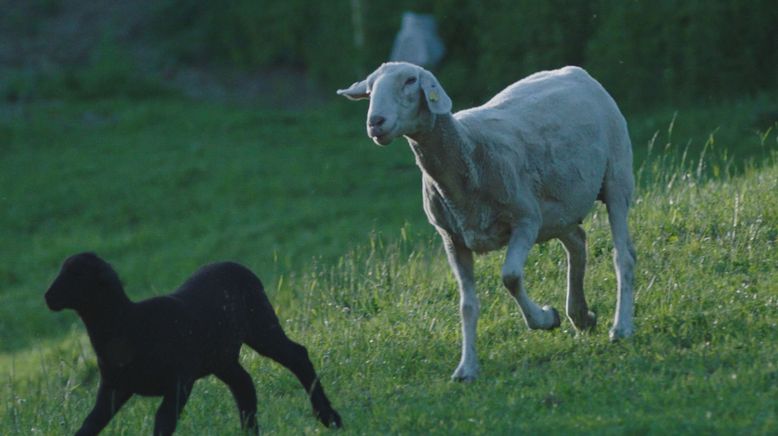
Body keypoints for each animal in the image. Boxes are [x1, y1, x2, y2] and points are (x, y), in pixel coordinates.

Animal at [44, 252, 342, 436]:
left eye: (77, 274)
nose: (48, 297)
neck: (128, 324)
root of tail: (235, 265)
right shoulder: (113, 387)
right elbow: (89, 424)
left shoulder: (179, 380)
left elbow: (163, 422)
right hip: (221, 357)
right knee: (244, 384)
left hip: (261, 325)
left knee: (297, 356)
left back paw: (329, 417)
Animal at [336, 61, 632, 382]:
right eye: (369, 89)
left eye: (410, 80)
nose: (375, 122)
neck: (467, 147)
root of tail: (575, 71)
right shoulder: (452, 239)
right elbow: (467, 305)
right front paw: (467, 367)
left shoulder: (525, 219)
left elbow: (510, 277)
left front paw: (544, 318)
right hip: (558, 210)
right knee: (577, 242)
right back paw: (581, 315)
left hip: (616, 177)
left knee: (623, 255)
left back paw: (621, 326)